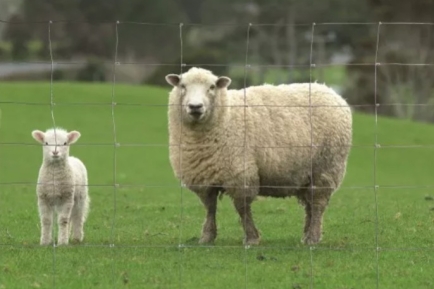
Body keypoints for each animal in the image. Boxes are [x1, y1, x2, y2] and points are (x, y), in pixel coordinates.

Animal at [165, 66, 352, 244]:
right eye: (182, 86)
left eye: (212, 87)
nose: (195, 107)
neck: (226, 117)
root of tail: (329, 91)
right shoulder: (204, 178)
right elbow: (210, 208)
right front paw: (207, 237)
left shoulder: (240, 174)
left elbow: (242, 208)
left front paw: (251, 238)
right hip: (307, 175)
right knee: (310, 206)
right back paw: (307, 235)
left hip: (326, 167)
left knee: (318, 203)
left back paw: (313, 237)